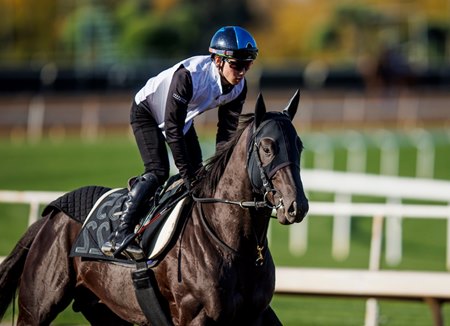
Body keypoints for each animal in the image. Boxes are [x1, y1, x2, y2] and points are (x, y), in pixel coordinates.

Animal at [0, 90, 310, 326]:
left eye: (299, 146)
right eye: (268, 148)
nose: (297, 206)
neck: (235, 246)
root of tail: (52, 216)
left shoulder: (255, 315)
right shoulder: (196, 317)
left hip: (105, 310)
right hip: (36, 308)